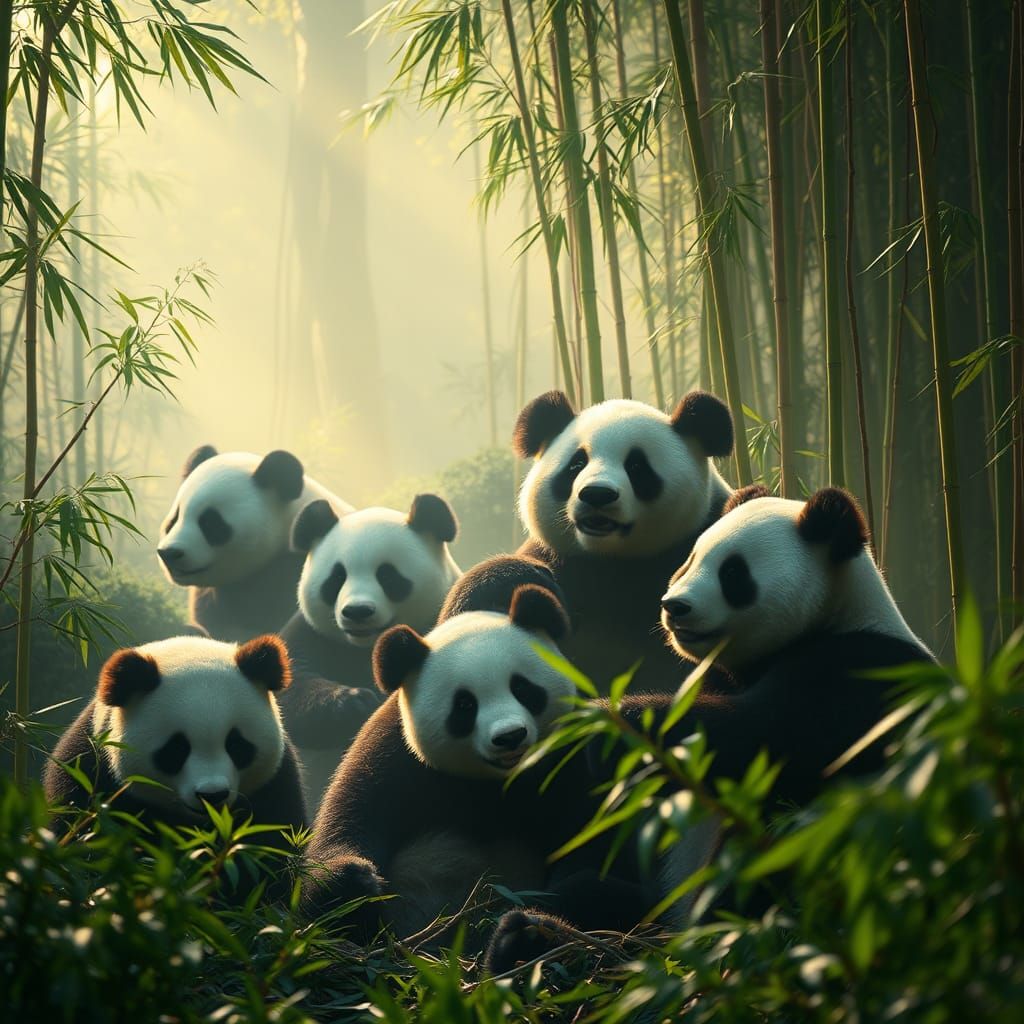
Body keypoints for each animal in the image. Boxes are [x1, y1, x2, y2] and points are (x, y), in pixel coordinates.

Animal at [276, 494, 463, 806]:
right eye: (337, 578)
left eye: (388, 576)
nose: (357, 611)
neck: (365, 648)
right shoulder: (311, 634)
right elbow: (291, 691)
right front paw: (354, 702)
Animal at [300, 559, 653, 945]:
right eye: (465, 705)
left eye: (523, 688)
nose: (510, 737)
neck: (495, 783)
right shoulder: (393, 755)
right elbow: (350, 819)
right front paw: (352, 884)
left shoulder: (571, 757)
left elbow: (593, 839)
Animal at [485, 486, 936, 971]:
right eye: (691, 558)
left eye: (733, 572)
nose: (674, 606)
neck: (837, 613)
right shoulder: (715, 675)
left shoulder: (861, 672)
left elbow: (754, 734)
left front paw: (610, 728)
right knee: (591, 895)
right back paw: (528, 939)